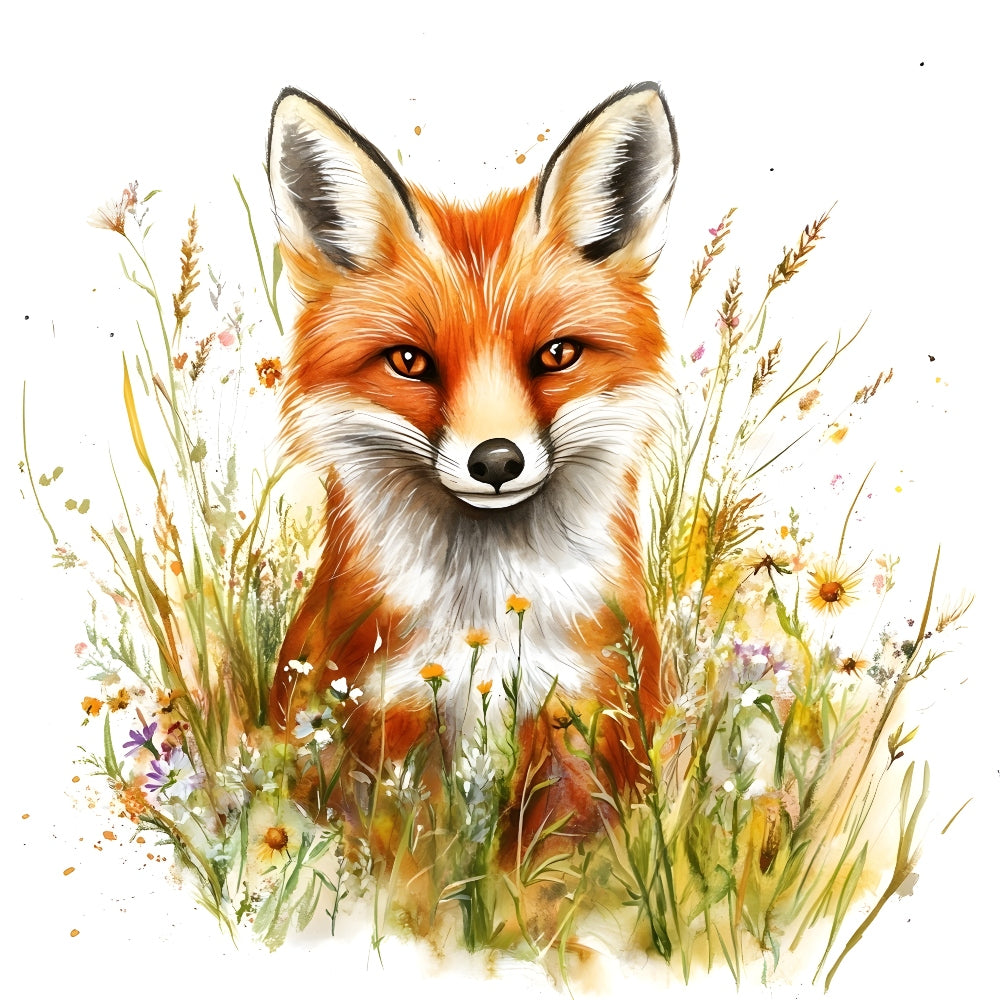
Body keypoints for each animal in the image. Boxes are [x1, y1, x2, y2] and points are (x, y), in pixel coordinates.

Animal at [266, 83, 679, 855]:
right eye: (409, 361)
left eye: (556, 354)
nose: (496, 461)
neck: (483, 630)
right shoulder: (387, 736)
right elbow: (411, 868)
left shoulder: (585, 726)